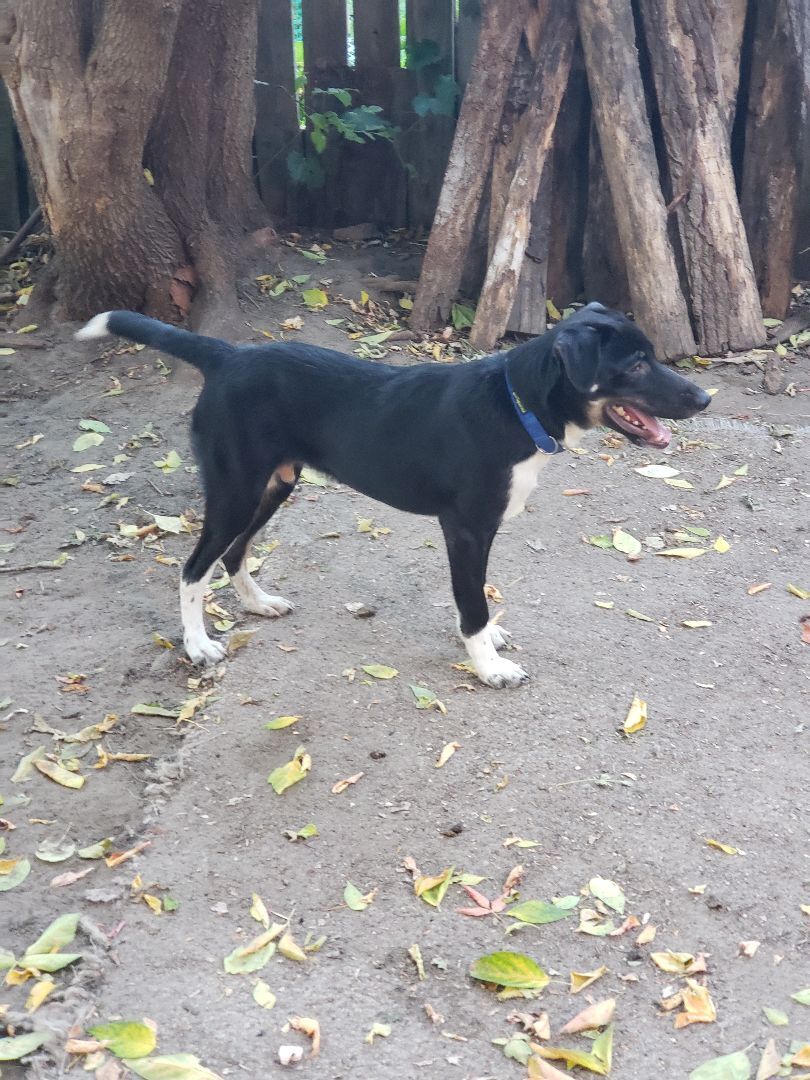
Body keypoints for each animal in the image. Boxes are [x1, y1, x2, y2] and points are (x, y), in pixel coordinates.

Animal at [77, 304, 708, 686]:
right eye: (635, 363)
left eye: (650, 354)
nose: (704, 398)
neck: (515, 404)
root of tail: (228, 355)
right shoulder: (466, 527)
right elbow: (471, 604)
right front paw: (489, 665)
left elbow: (475, 597)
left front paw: (488, 643)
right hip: (235, 489)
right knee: (193, 569)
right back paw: (198, 646)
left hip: (276, 484)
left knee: (234, 553)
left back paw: (258, 604)